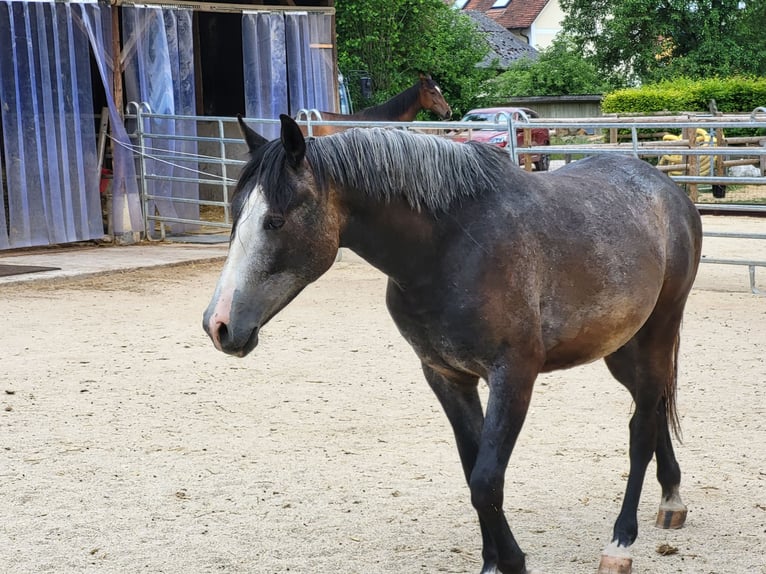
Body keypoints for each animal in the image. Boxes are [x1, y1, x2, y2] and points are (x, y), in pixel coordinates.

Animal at [202, 116, 704, 574]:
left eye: (276, 220)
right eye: (236, 214)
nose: (218, 325)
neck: (450, 247)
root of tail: (668, 189)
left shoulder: (513, 376)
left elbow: (486, 480)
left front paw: (513, 562)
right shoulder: (447, 377)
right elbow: (473, 470)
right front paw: (494, 562)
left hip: (659, 330)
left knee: (640, 429)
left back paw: (621, 542)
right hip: (620, 347)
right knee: (653, 409)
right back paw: (671, 498)